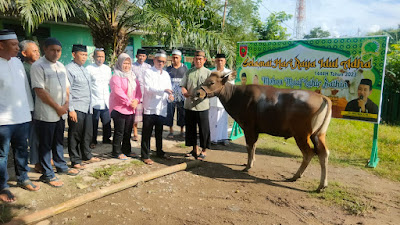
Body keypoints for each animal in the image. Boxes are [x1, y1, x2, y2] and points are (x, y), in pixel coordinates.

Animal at [196, 72, 332, 192]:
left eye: (212, 82)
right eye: (205, 80)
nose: (198, 92)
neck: (236, 96)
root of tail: (323, 97)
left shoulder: (248, 128)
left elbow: (249, 146)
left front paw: (248, 166)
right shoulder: (254, 131)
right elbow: (254, 146)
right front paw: (251, 162)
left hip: (301, 135)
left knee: (309, 153)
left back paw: (296, 176)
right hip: (318, 135)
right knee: (323, 153)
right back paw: (322, 185)